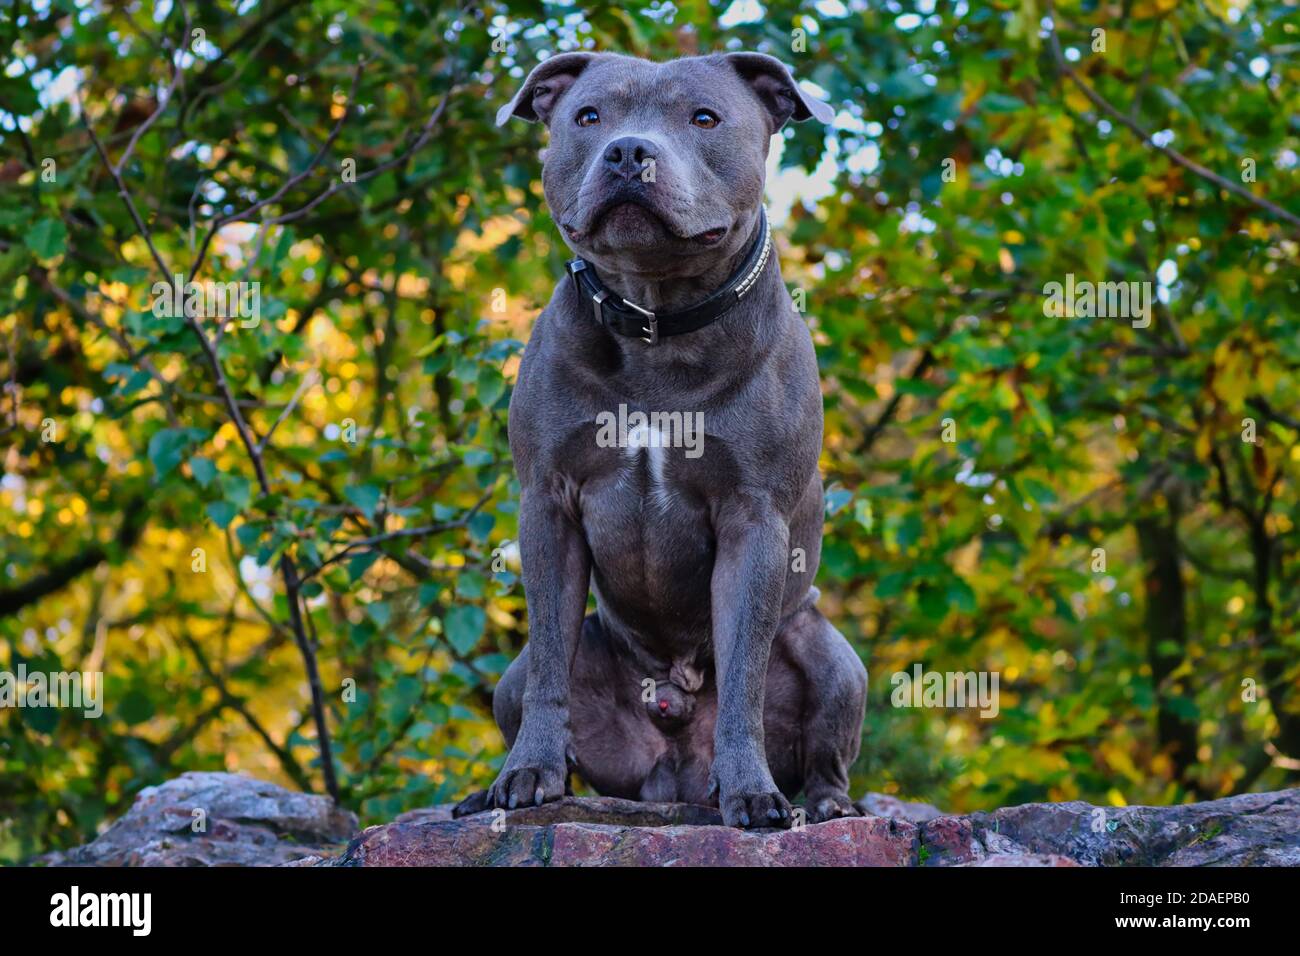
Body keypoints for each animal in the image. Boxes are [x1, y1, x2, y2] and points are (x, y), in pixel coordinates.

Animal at [452, 50, 868, 832]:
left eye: (704, 117)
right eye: (588, 116)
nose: (627, 153)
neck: (656, 319)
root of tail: (672, 771)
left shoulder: (752, 520)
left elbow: (743, 677)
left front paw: (751, 792)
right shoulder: (547, 505)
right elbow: (549, 662)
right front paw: (526, 775)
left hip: (833, 660)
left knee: (827, 752)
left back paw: (829, 806)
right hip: (523, 675)